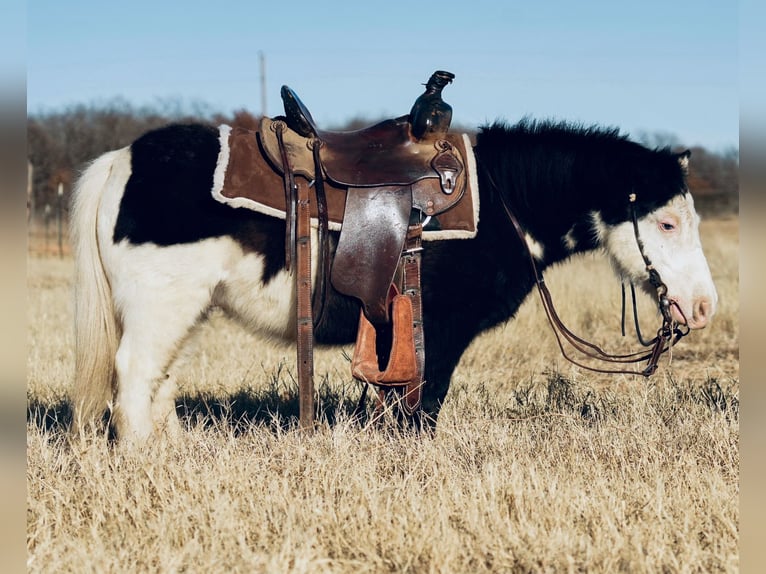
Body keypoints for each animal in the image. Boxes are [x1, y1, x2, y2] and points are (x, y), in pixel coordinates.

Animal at [70, 116, 720, 440]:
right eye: (665, 222)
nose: (704, 307)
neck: (503, 201)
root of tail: (121, 161)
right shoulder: (443, 331)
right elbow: (424, 405)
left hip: (184, 309)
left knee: (160, 377)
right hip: (162, 305)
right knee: (134, 373)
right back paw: (141, 460)